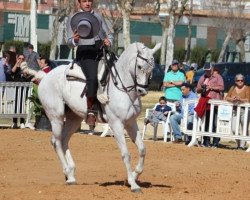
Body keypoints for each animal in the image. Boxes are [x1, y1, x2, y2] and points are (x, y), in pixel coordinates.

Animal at [25, 42, 162, 192]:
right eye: (139, 67)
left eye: (152, 68)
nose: (142, 91)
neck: (123, 88)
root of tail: (45, 76)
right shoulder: (116, 124)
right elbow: (126, 154)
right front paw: (133, 184)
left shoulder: (131, 123)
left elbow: (142, 149)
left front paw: (135, 174)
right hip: (56, 117)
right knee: (56, 141)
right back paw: (67, 172)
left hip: (74, 119)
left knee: (63, 140)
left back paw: (71, 174)